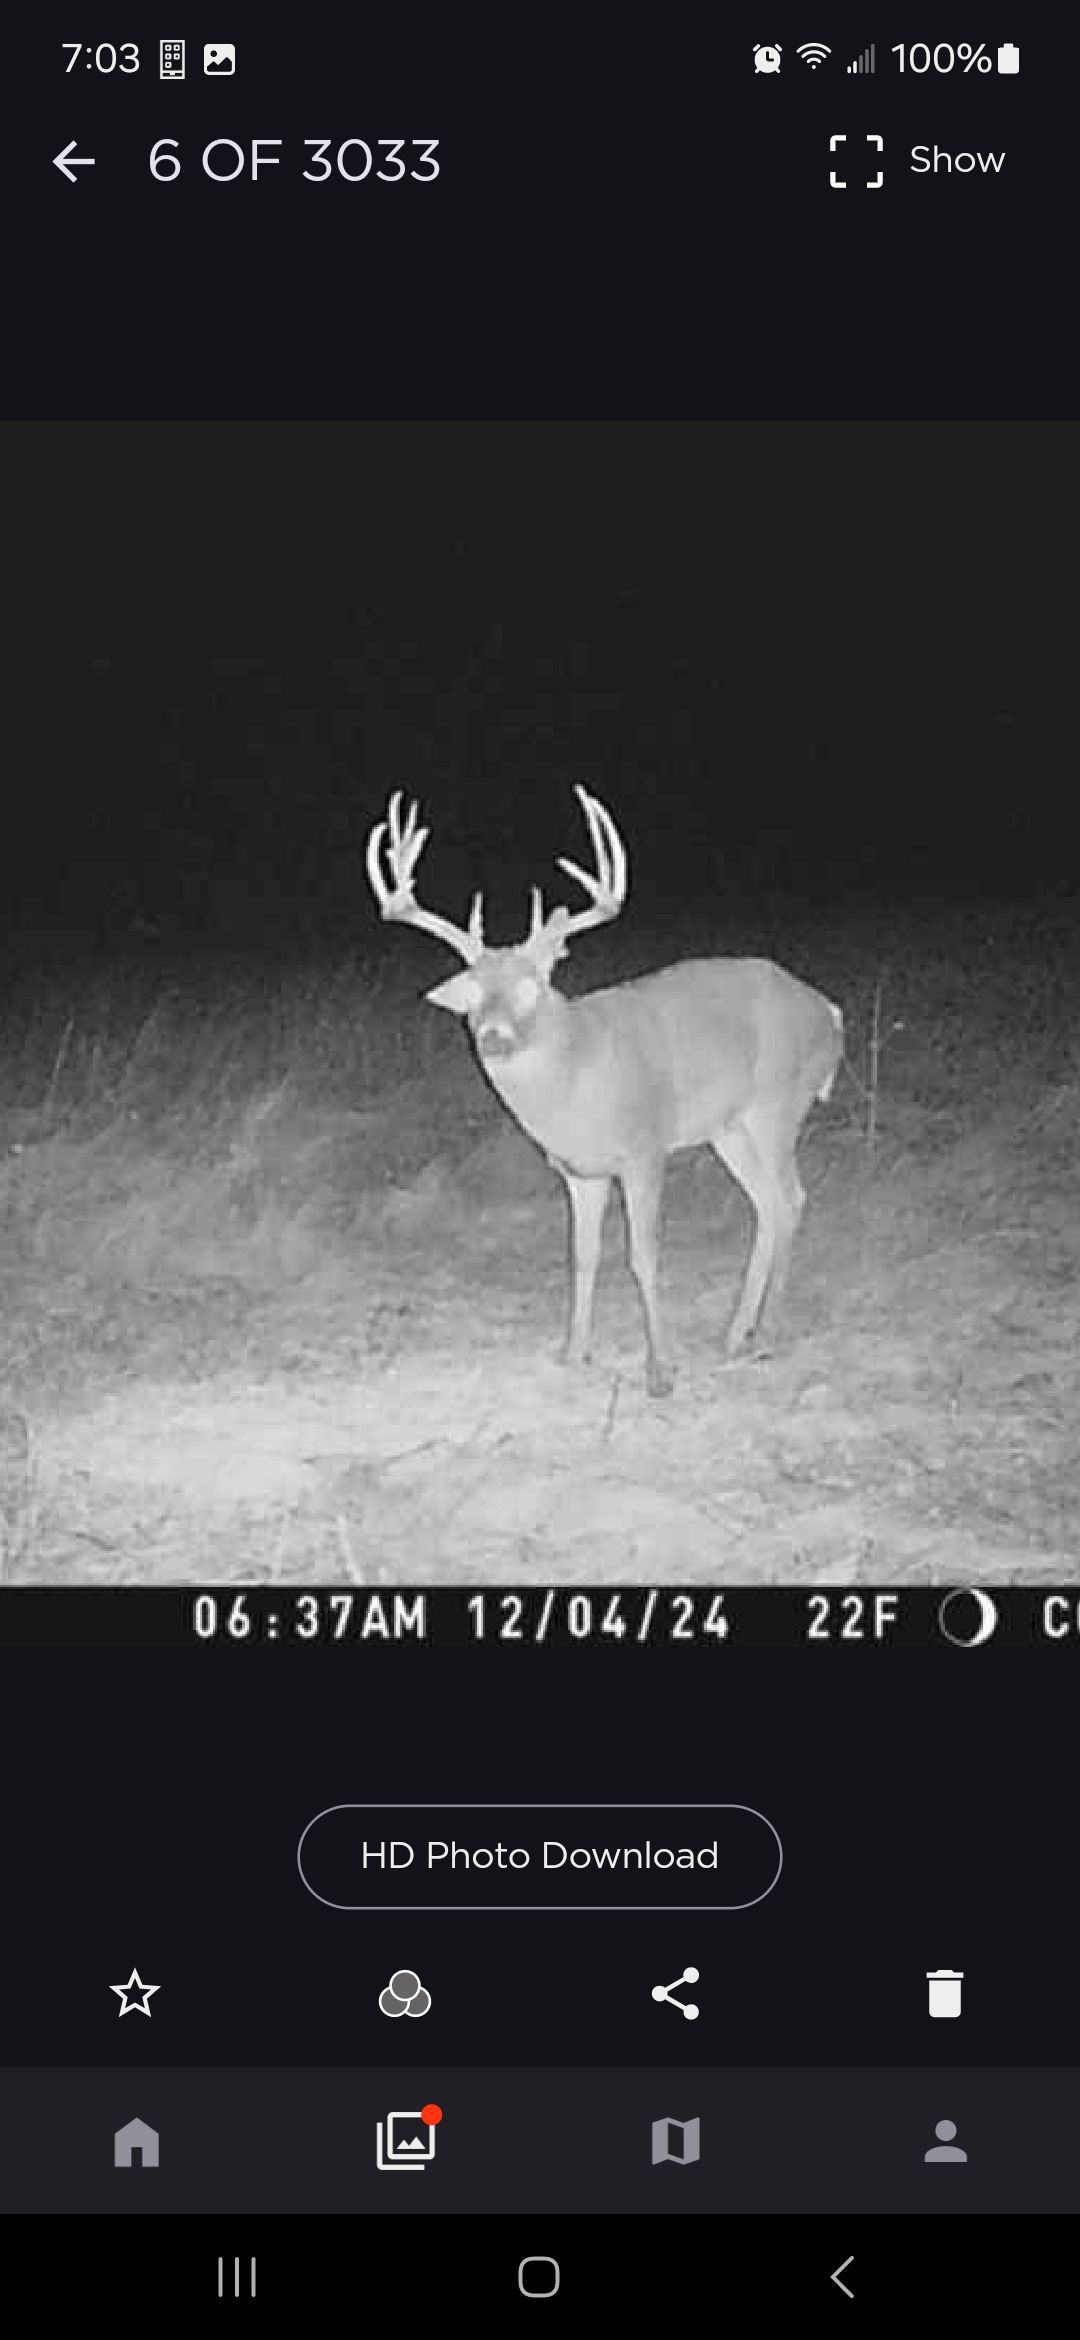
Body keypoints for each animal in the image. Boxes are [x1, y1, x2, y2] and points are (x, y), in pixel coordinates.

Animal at [366, 787, 843, 1397]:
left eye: (532, 985)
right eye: (474, 990)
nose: (493, 1036)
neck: (578, 1078)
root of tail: (829, 1011)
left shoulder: (643, 1151)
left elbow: (642, 1255)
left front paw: (659, 1372)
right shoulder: (578, 1171)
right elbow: (583, 1256)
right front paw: (574, 1353)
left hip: (778, 1104)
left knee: (792, 1199)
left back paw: (770, 1334)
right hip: (729, 1128)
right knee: (768, 1205)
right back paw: (738, 1334)